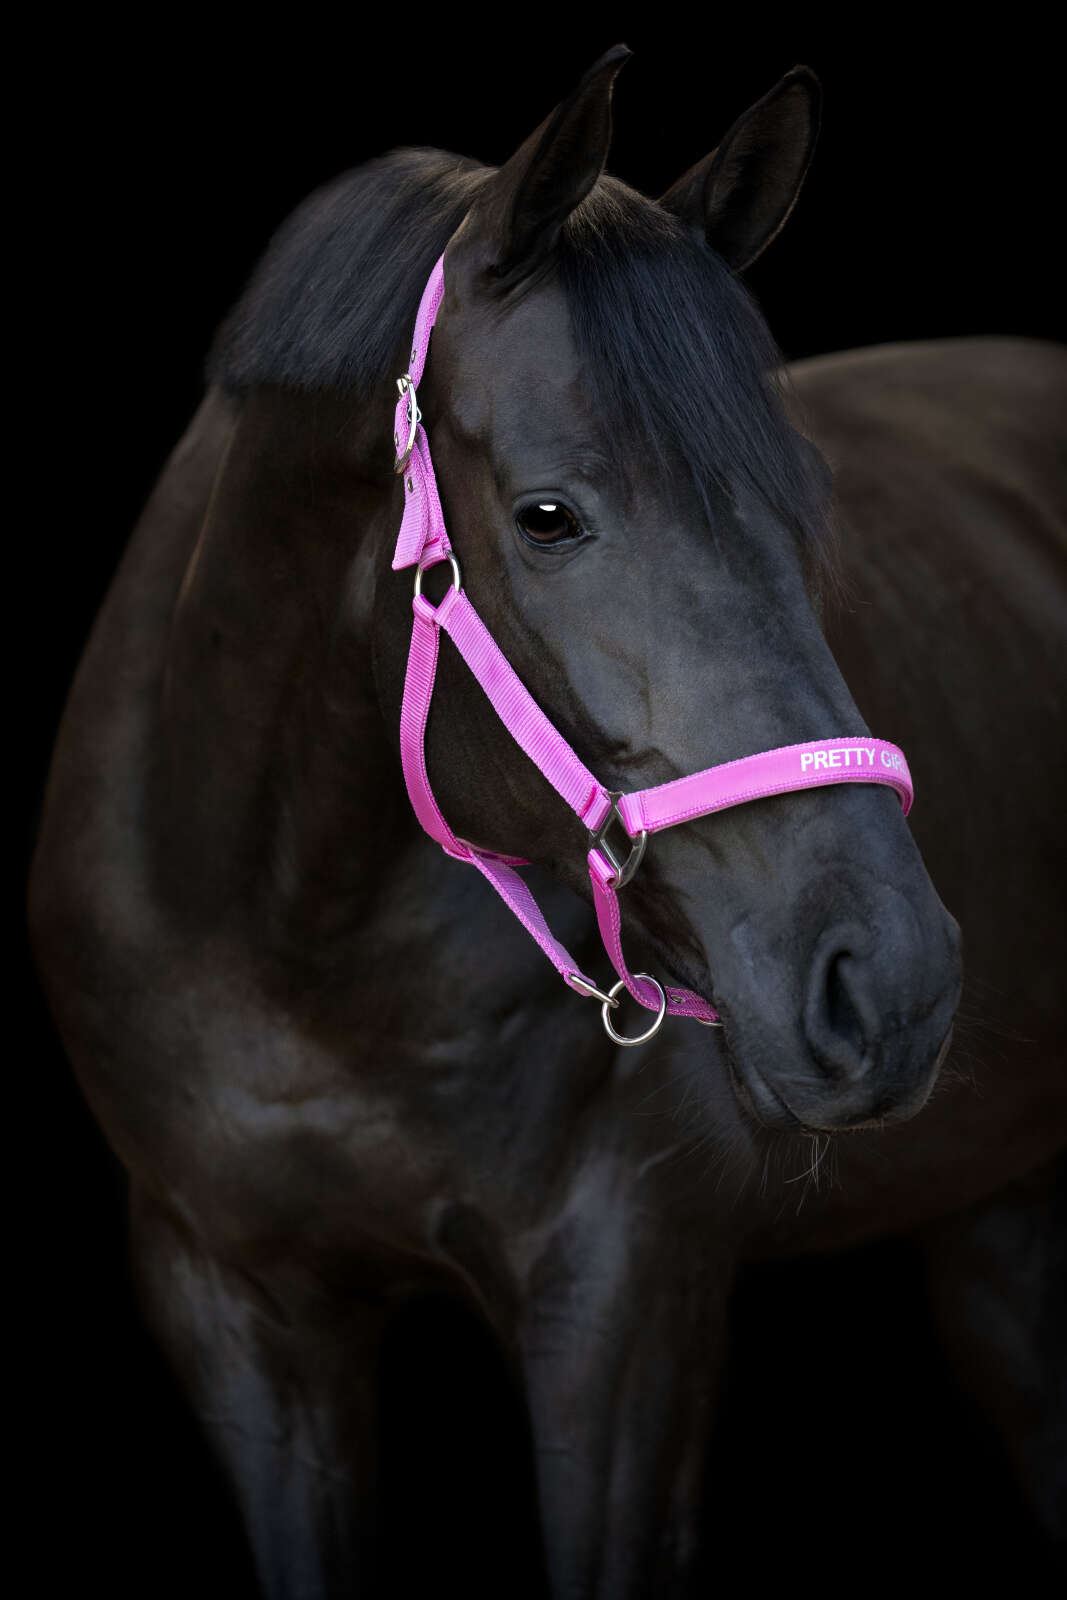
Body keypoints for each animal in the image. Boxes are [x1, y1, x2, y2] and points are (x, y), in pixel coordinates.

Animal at [29, 45, 1066, 1597]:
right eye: (547, 514)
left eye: (803, 502)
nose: (884, 983)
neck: (293, 945)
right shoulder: (238, 1310)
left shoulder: (625, 1307)